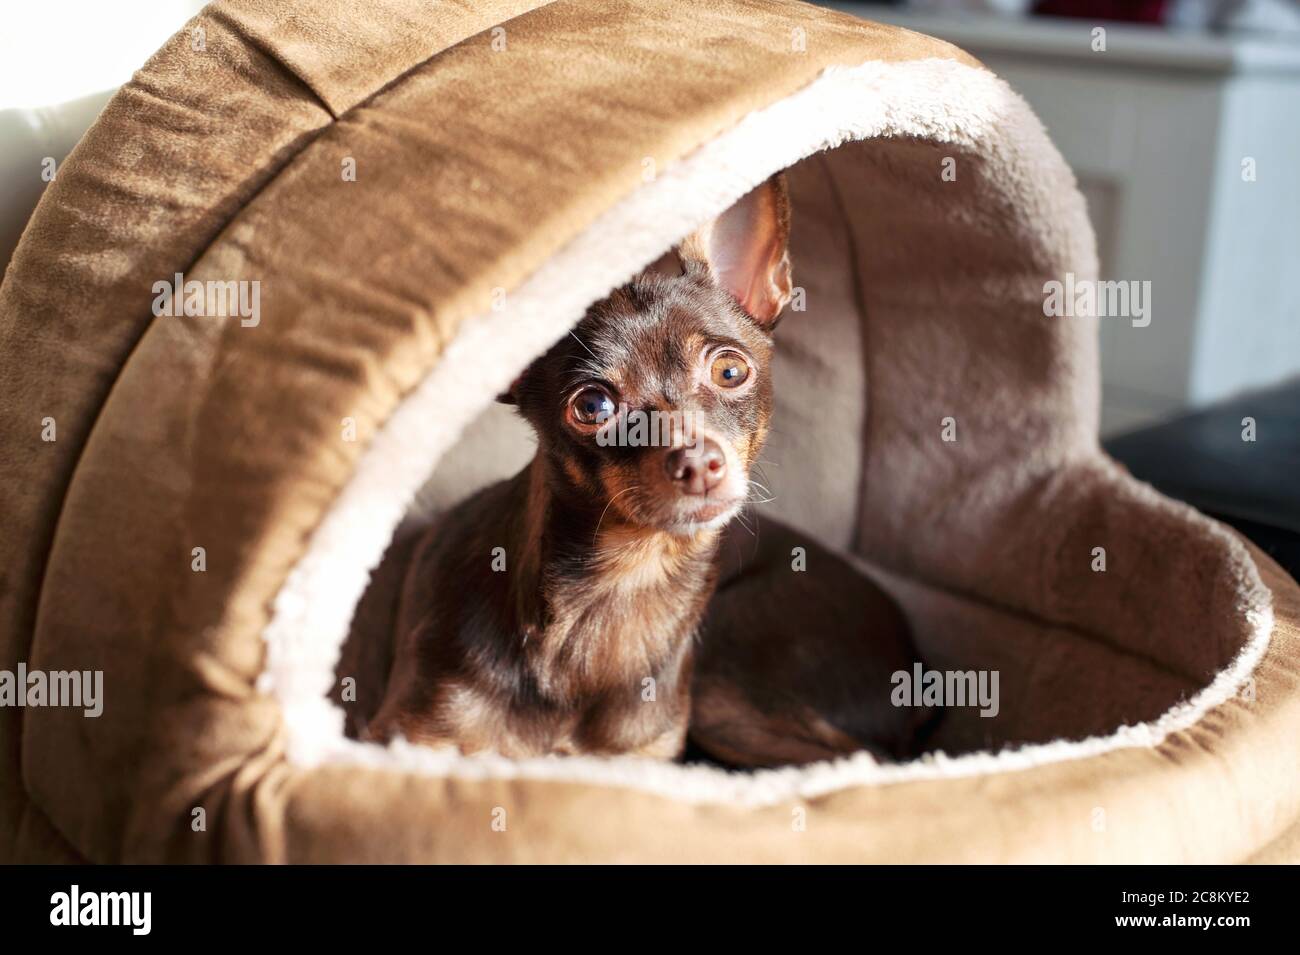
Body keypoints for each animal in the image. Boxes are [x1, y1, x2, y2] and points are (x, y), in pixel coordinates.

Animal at [369, 175, 925, 764]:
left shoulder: (642, 760)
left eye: (731, 372)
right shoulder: (406, 742)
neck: (628, 579)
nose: (698, 461)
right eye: (592, 407)